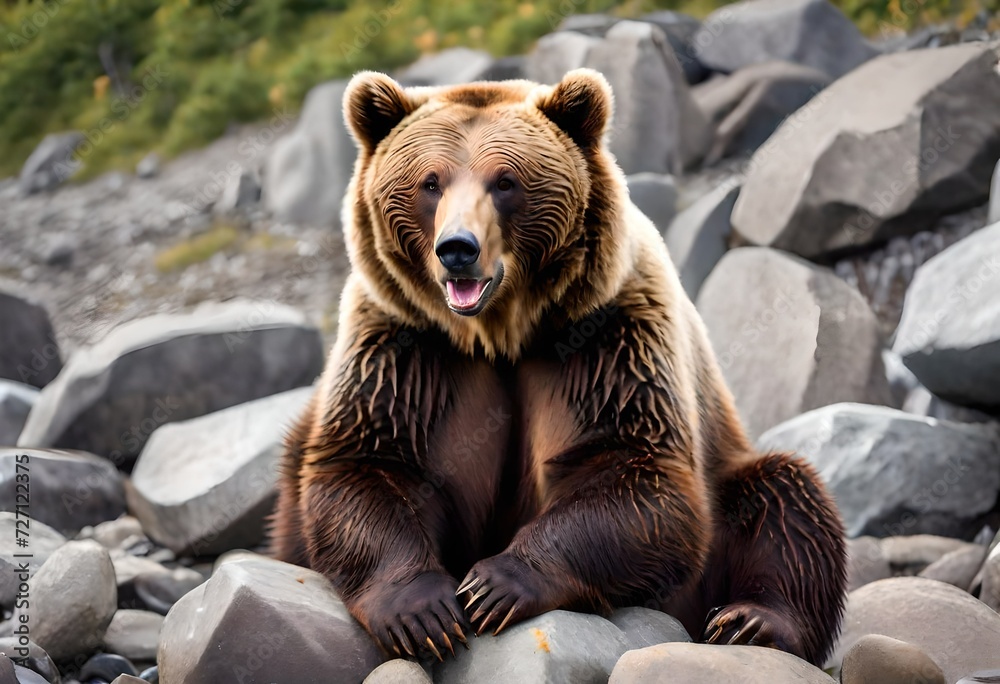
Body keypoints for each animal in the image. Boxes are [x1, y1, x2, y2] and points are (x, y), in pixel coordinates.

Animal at [269, 68, 847, 667]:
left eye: (505, 181)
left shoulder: (609, 337)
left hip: (729, 478)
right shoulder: (404, 346)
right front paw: (423, 613)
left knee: (784, 497)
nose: (458, 248)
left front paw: (494, 585)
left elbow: (637, 471)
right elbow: (365, 464)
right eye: (430, 182)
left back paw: (753, 622)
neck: (499, 334)